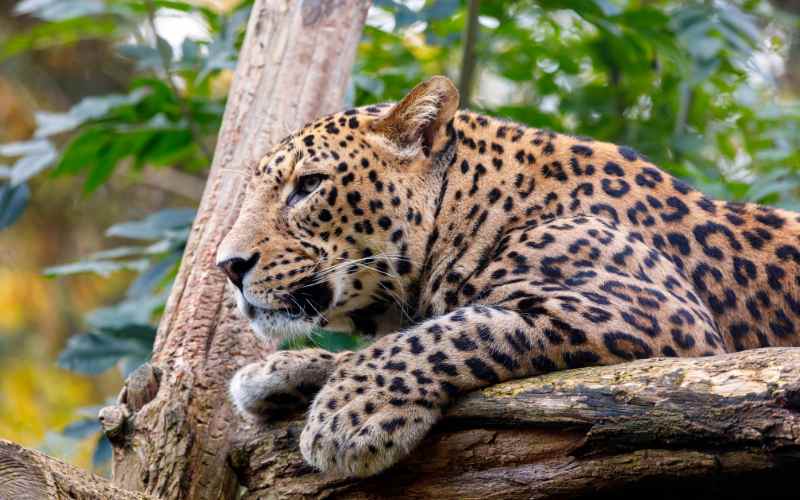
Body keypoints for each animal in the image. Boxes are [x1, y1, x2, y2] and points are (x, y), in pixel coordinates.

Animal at [216, 76, 800, 478]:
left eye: (309, 186)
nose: (228, 266)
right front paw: (277, 373)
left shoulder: (658, 315)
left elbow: (448, 331)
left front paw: (350, 412)